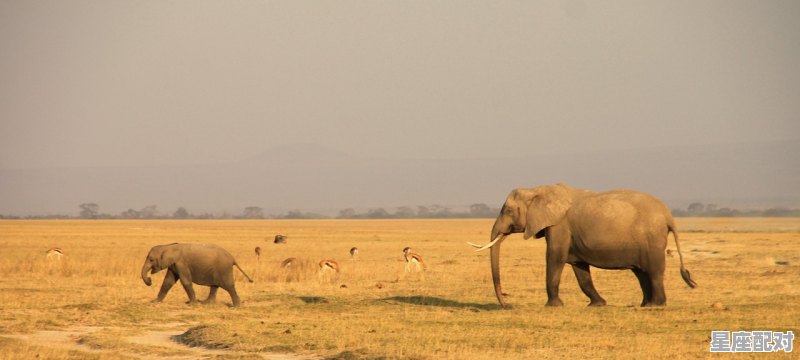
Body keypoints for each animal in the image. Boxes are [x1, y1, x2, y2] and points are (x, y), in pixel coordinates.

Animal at [468, 184, 692, 308]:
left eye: (508, 211)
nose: (507, 304)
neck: (538, 189)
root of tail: (669, 216)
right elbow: (579, 268)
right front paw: (597, 305)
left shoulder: (559, 226)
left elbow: (554, 258)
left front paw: (553, 306)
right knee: (641, 272)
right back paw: (645, 305)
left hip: (652, 239)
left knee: (653, 271)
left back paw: (656, 305)